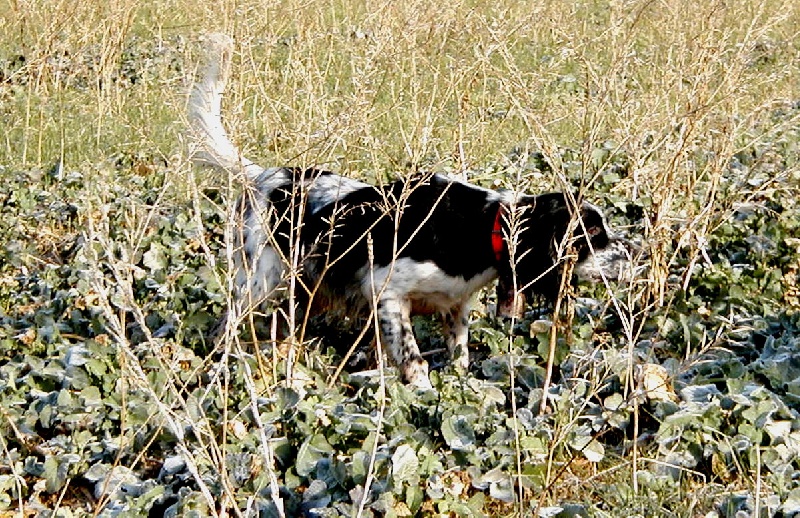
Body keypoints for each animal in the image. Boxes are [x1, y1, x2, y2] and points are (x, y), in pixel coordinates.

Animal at [189, 33, 632, 390]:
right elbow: (413, 357)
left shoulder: (455, 304)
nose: (633, 254)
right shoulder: (385, 293)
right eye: (592, 235)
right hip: (257, 279)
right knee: (225, 325)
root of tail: (264, 176)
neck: (481, 226)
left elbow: (459, 353)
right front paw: (422, 392)